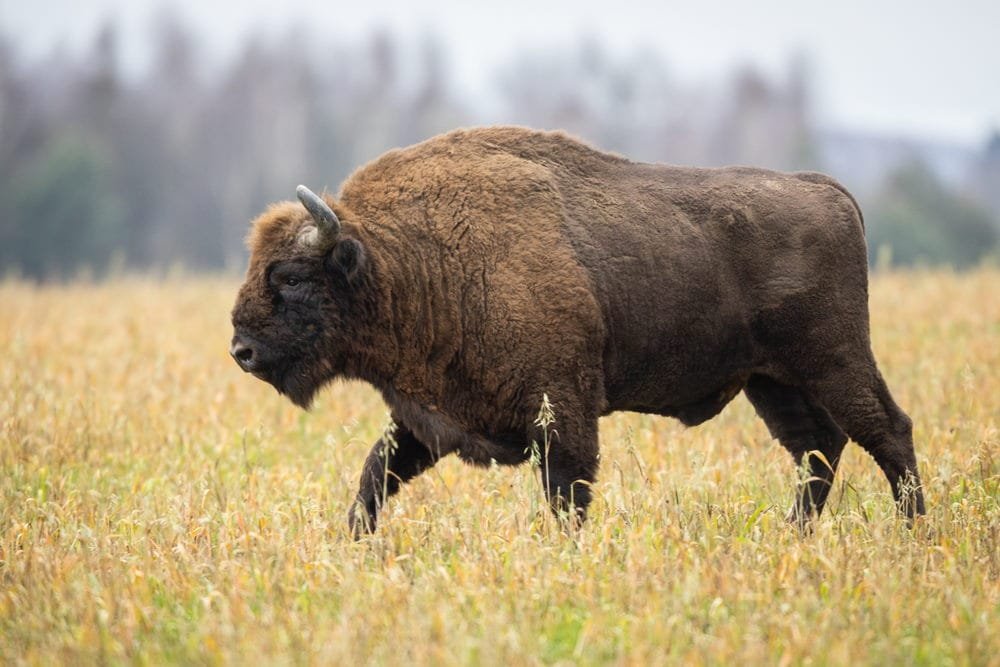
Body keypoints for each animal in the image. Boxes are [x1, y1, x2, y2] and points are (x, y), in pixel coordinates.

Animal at [230, 126, 925, 536]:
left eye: (289, 275)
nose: (241, 349)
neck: (406, 258)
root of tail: (826, 190)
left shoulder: (562, 413)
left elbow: (568, 493)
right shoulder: (427, 419)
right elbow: (376, 474)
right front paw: (354, 542)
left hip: (833, 360)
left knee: (885, 430)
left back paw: (915, 531)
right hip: (772, 380)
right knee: (818, 448)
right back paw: (794, 534)